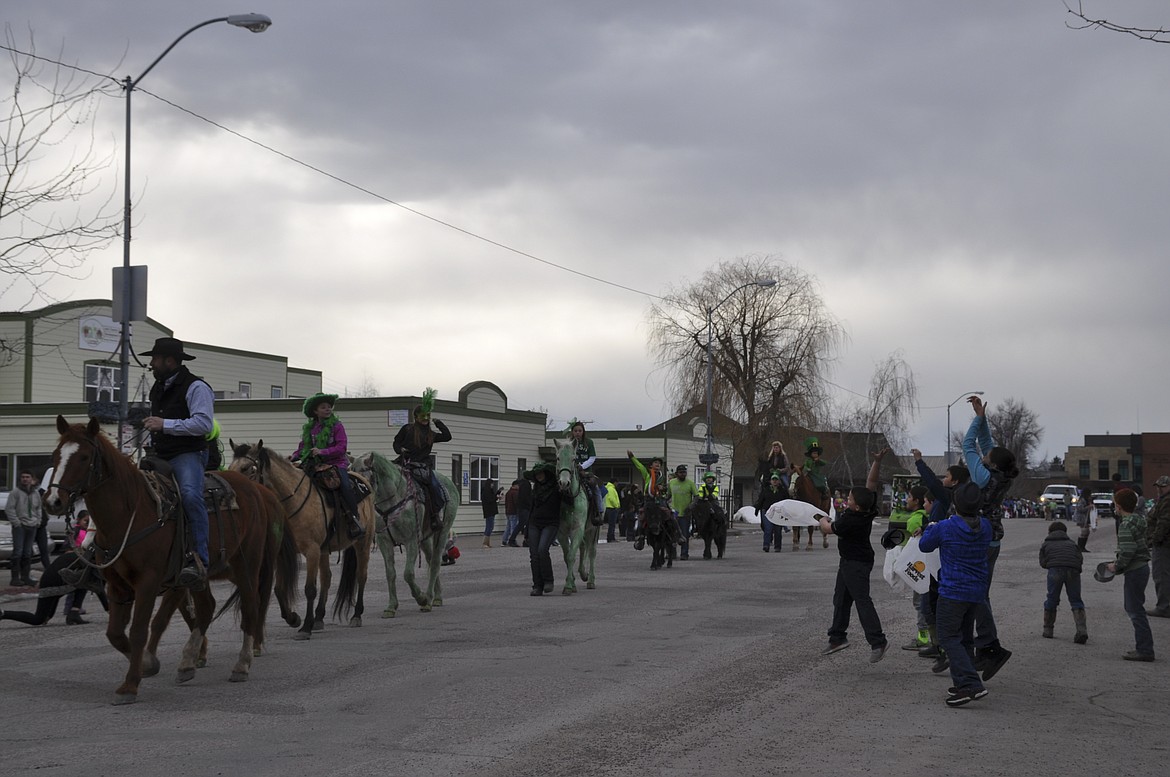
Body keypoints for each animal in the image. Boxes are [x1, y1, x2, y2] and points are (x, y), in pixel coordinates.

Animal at [44, 418, 301, 702]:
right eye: (56, 455)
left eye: (84, 457)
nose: (53, 501)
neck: (131, 513)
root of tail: (257, 491)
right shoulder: (119, 586)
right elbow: (115, 633)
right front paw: (147, 663)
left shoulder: (149, 582)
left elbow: (142, 629)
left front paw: (130, 685)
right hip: (202, 575)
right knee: (207, 608)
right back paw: (188, 662)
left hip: (248, 565)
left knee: (252, 606)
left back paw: (242, 663)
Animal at [228, 439, 374, 641]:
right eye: (230, 467)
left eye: (247, 468)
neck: (292, 500)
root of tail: (362, 479)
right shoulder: (282, 553)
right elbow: (279, 590)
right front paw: (293, 619)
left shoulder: (311, 551)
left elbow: (309, 589)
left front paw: (305, 627)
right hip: (324, 550)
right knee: (327, 577)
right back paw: (319, 618)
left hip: (362, 543)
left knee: (361, 575)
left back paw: (356, 615)